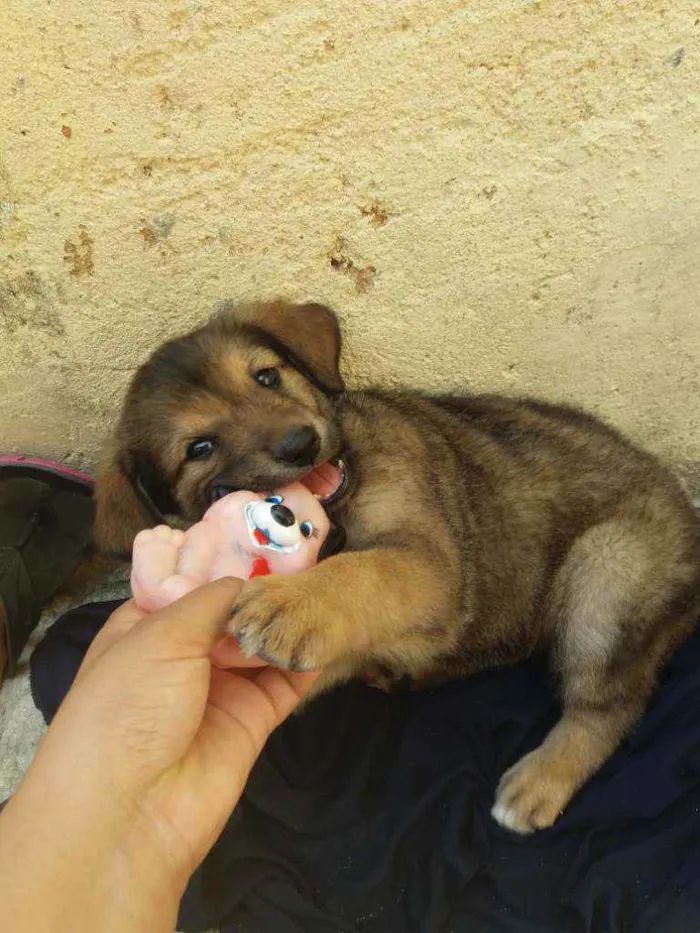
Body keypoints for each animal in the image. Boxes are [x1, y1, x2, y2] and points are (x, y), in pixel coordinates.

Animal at [94, 302, 700, 832]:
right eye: (199, 448)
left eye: (266, 377)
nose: (299, 444)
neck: (342, 506)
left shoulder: (432, 566)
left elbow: (366, 571)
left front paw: (292, 604)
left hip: (608, 571)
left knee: (612, 705)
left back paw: (541, 780)